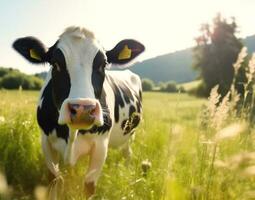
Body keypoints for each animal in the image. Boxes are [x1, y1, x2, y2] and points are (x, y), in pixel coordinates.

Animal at [12, 26, 144, 197]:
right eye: (55, 64)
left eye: (103, 64)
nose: (82, 109)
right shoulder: (46, 141)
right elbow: (54, 180)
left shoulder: (101, 145)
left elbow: (88, 186)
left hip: (130, 135)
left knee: (127, 153)